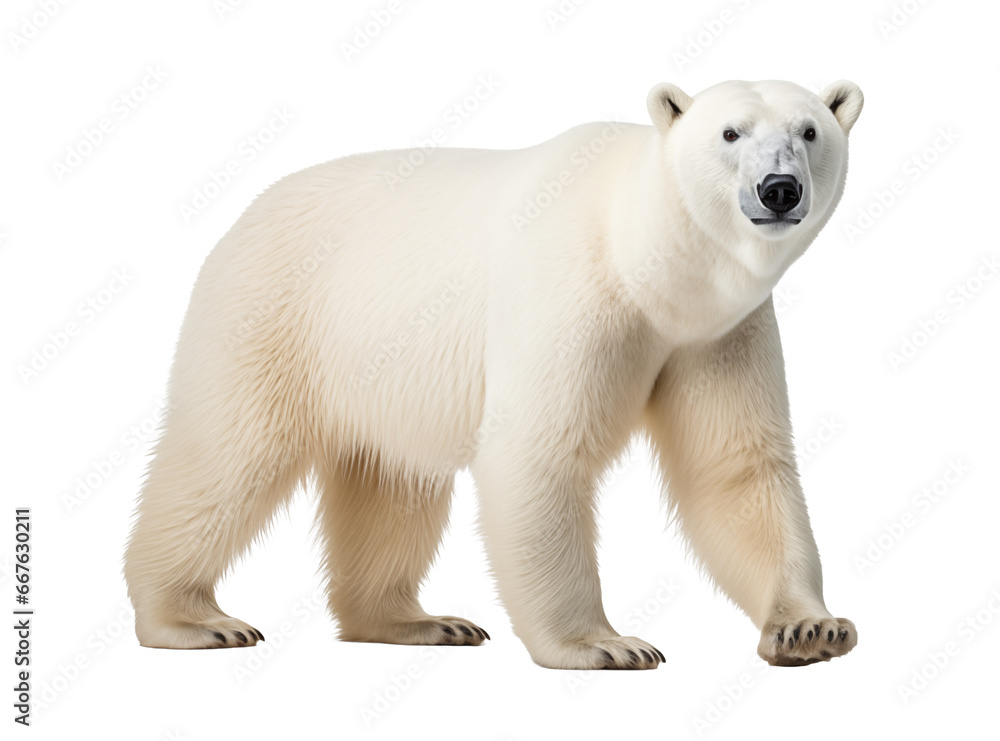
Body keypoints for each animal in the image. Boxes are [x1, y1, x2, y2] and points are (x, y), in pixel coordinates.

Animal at [124, 78, 863, 669]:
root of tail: (244, 216)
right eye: (730, 132)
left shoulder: (716, 334)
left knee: (394, 478)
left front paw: (810, 627)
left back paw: (417, 620)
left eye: (809, 130)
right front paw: (606, 643)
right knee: (229, 453)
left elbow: (735, 467)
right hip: (275, 312)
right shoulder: (572, 295)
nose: (778, 189)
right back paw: (193, 618)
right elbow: (540, 452)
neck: (646, 259)